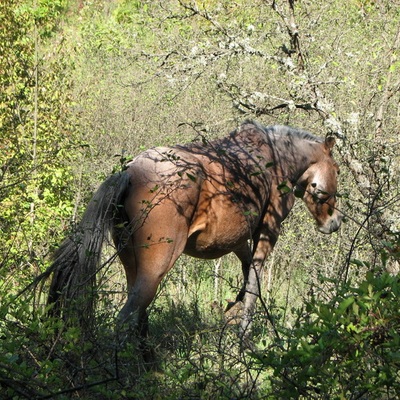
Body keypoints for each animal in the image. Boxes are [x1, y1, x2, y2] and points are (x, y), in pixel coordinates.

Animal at [46, 119, 340, 340]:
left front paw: (232, 310)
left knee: (138, 312)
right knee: (127, 318)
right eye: (337, 169)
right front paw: (244, 337)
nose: (334, 222)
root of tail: (128, 173)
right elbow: (254, 283)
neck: (276, 157)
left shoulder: (238, 239)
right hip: (157, 266)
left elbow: (246, 273)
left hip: (131, 260)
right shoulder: (268, 230)